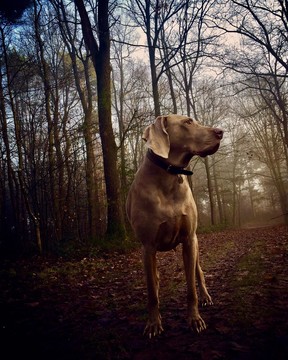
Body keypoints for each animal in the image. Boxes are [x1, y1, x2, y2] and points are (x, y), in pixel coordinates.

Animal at [126, 115, 223, 338]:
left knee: (199, 273)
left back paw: (206, 296)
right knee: (155, 279)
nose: (220, 132)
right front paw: (153, 323)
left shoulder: (188, 239)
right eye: (188, 122)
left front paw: (194, 319)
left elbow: (191, 289)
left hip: (195, 245)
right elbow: (152, 293)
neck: (169, 177)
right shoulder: (148, 247)